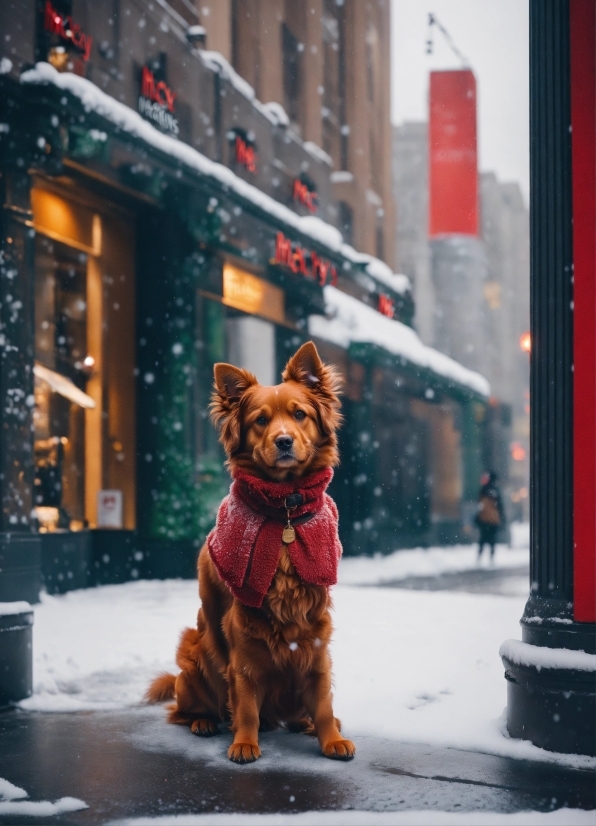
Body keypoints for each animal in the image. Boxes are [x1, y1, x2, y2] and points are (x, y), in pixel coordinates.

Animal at [147, 340, 356, 760]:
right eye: (261, 420)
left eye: (299, 414)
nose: (283, 440)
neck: (284, 508)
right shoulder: (242, 635)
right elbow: (243, 703)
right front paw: (244, 742)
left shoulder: (316, 634)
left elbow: (323, 700)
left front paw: (330, 737)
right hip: (192, 657)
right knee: (185, 710)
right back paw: (204, 723)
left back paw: (305, 723)